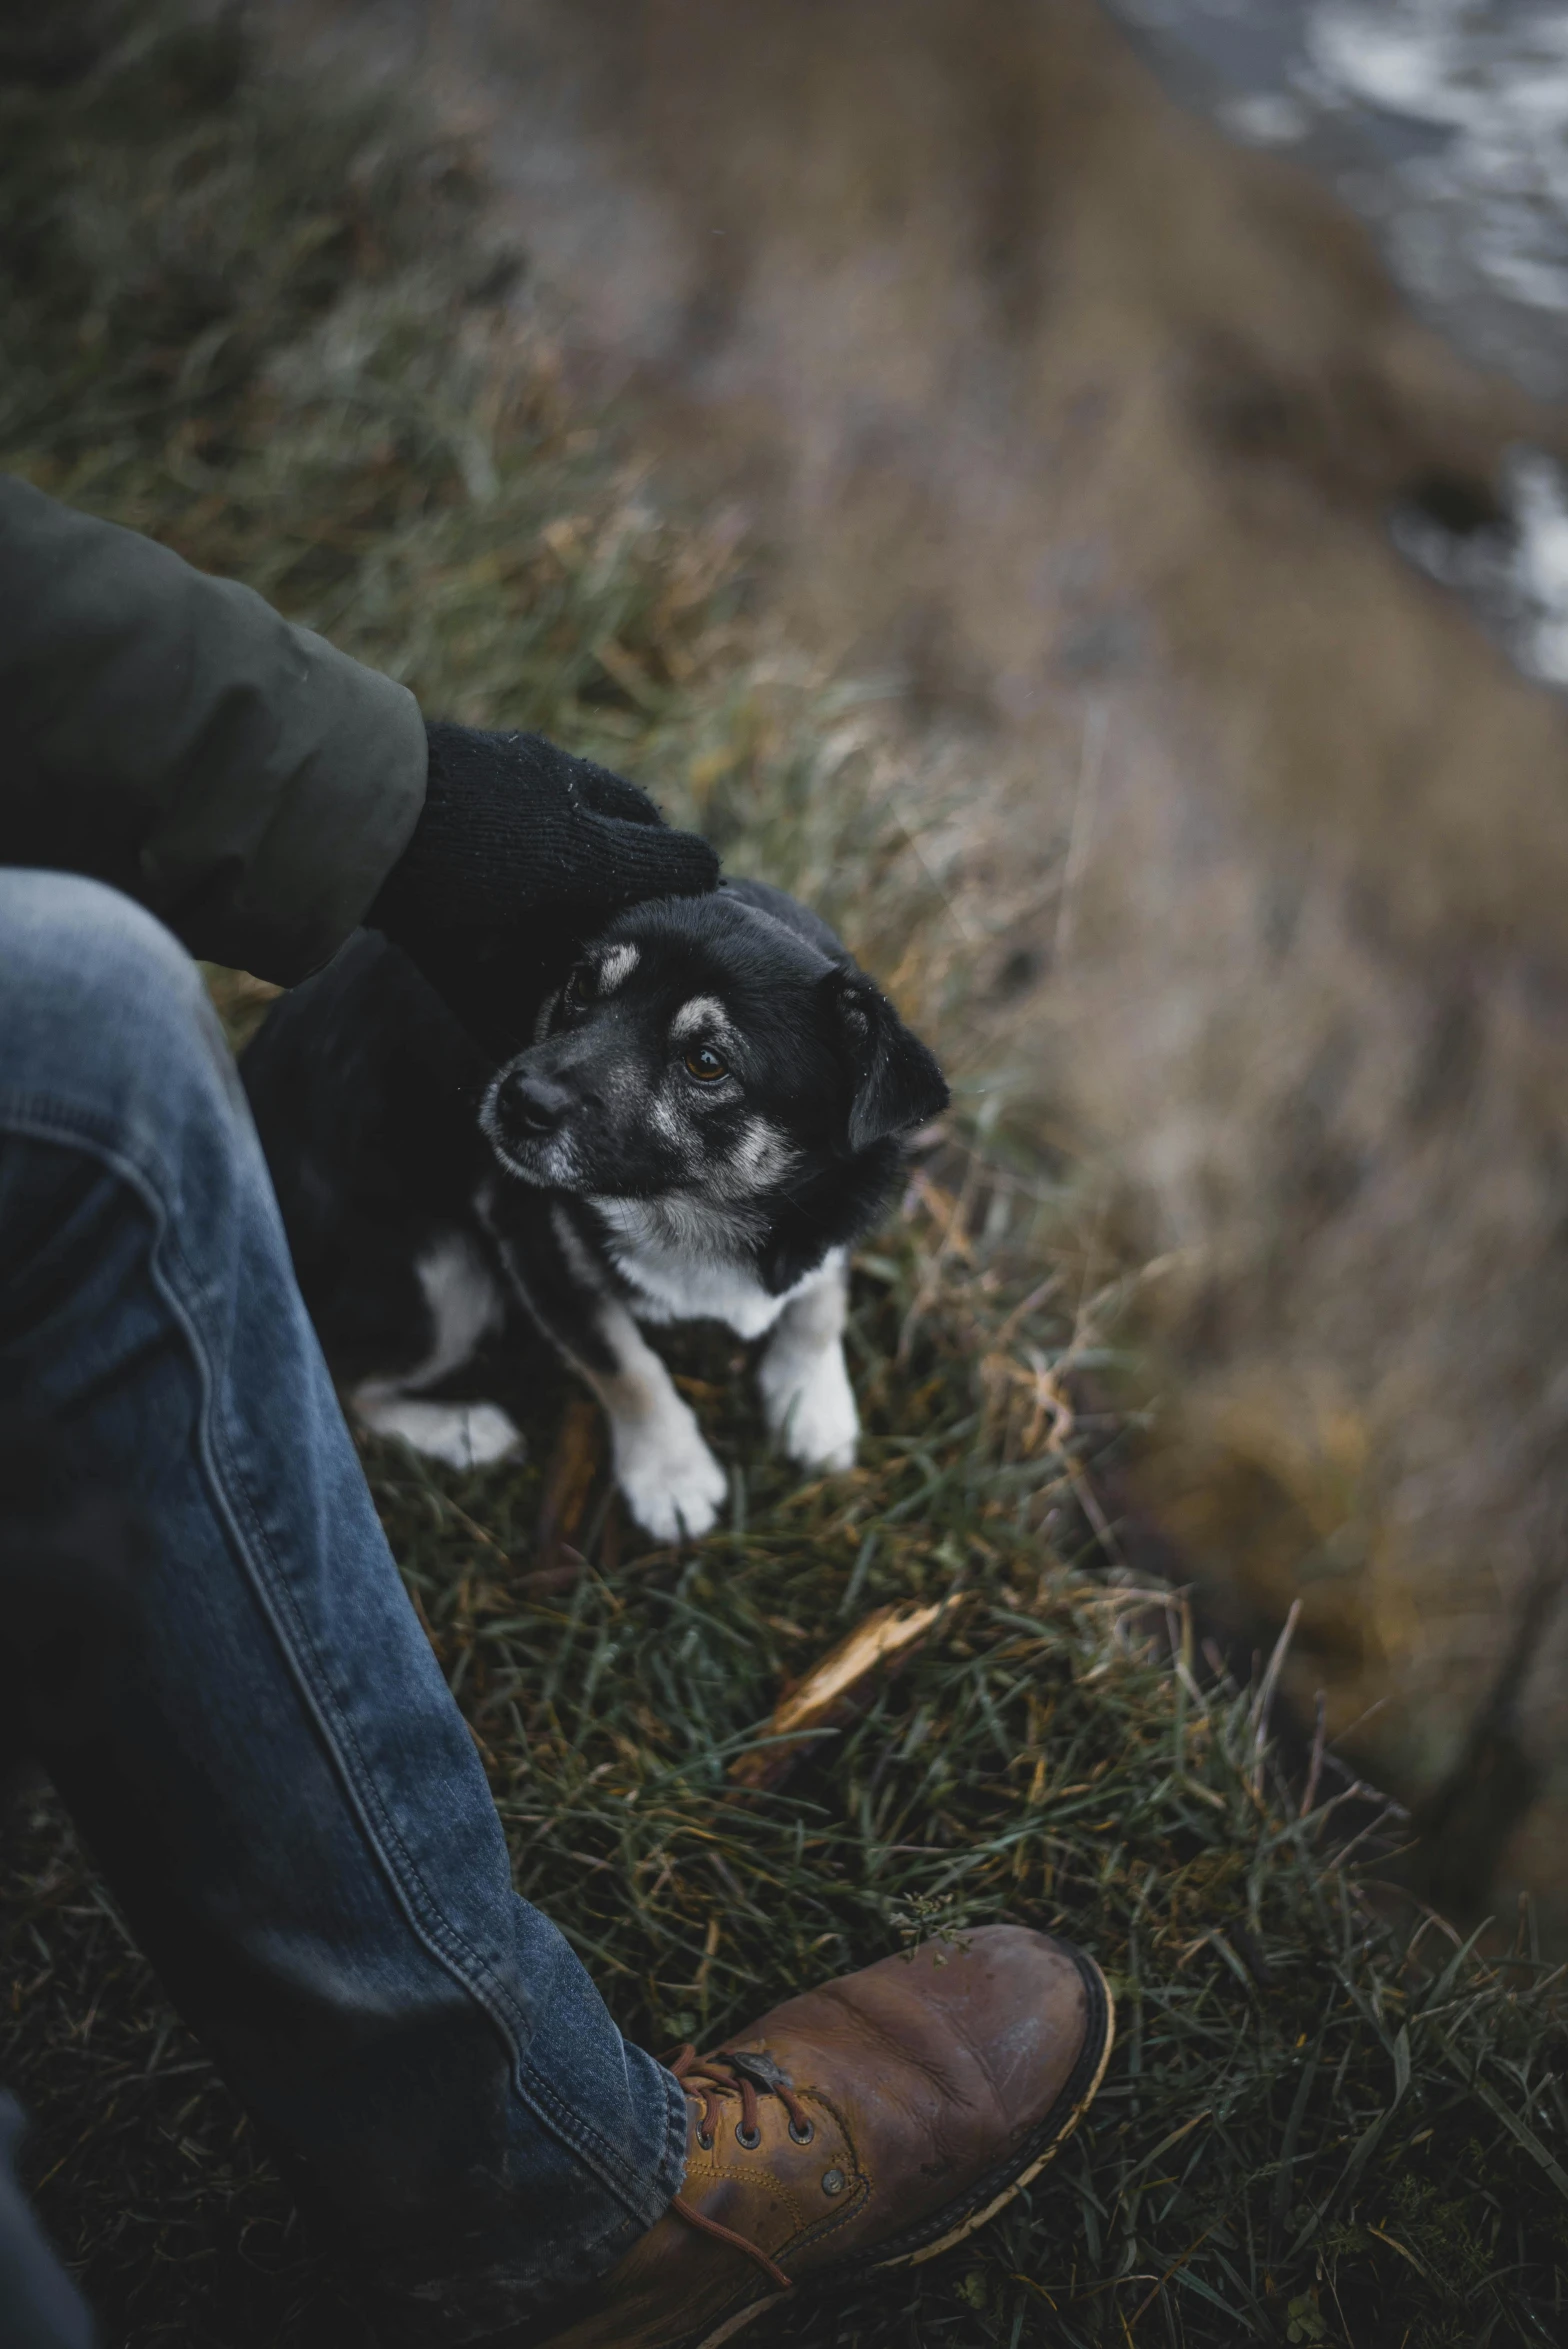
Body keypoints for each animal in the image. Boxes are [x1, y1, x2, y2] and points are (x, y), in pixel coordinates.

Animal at [245, 732, 943, 1540]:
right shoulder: (534, 1242)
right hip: (447, 1279)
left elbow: (823, 1291)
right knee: (340, 1385)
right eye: (581, 985)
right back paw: (461, 1431)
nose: (518, 1100)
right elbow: (624, 1363)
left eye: (707, 1062)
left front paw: (812, 1403)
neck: (697, 1209)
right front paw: (670, 1473)